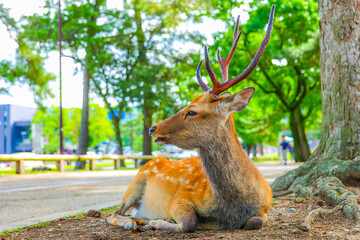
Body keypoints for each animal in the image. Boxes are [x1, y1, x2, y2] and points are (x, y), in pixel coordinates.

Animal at [107, 4, 276, 232]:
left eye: (192, 111)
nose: (153, 128)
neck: (232, 207)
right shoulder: (179, 198)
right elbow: (189, 223)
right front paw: (157, 222)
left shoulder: (266, 206)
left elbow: (254, 222)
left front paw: (156, 221)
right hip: (136, 180)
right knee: (114, 213)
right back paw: (134, 222)